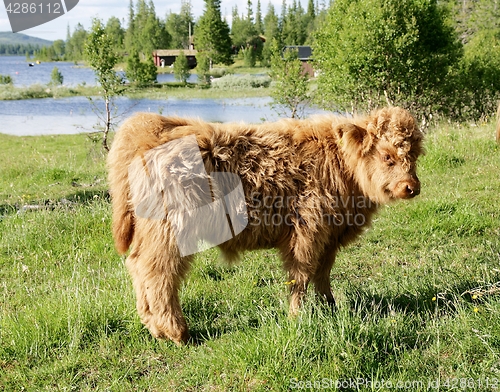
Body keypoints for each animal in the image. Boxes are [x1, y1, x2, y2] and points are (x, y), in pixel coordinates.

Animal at [107, 106, 424, 344]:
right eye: (386, 156)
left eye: (413, 156)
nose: (412, 187)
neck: (341, 167)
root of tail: (148, 128)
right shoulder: (307, 231)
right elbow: (301, 275)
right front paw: (296, 316)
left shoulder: (329, 236)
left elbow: (323, 273)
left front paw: (330, 307)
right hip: (170, 231)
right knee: (159, 272)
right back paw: (177, 332)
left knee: (138, 265)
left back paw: (154, 327)